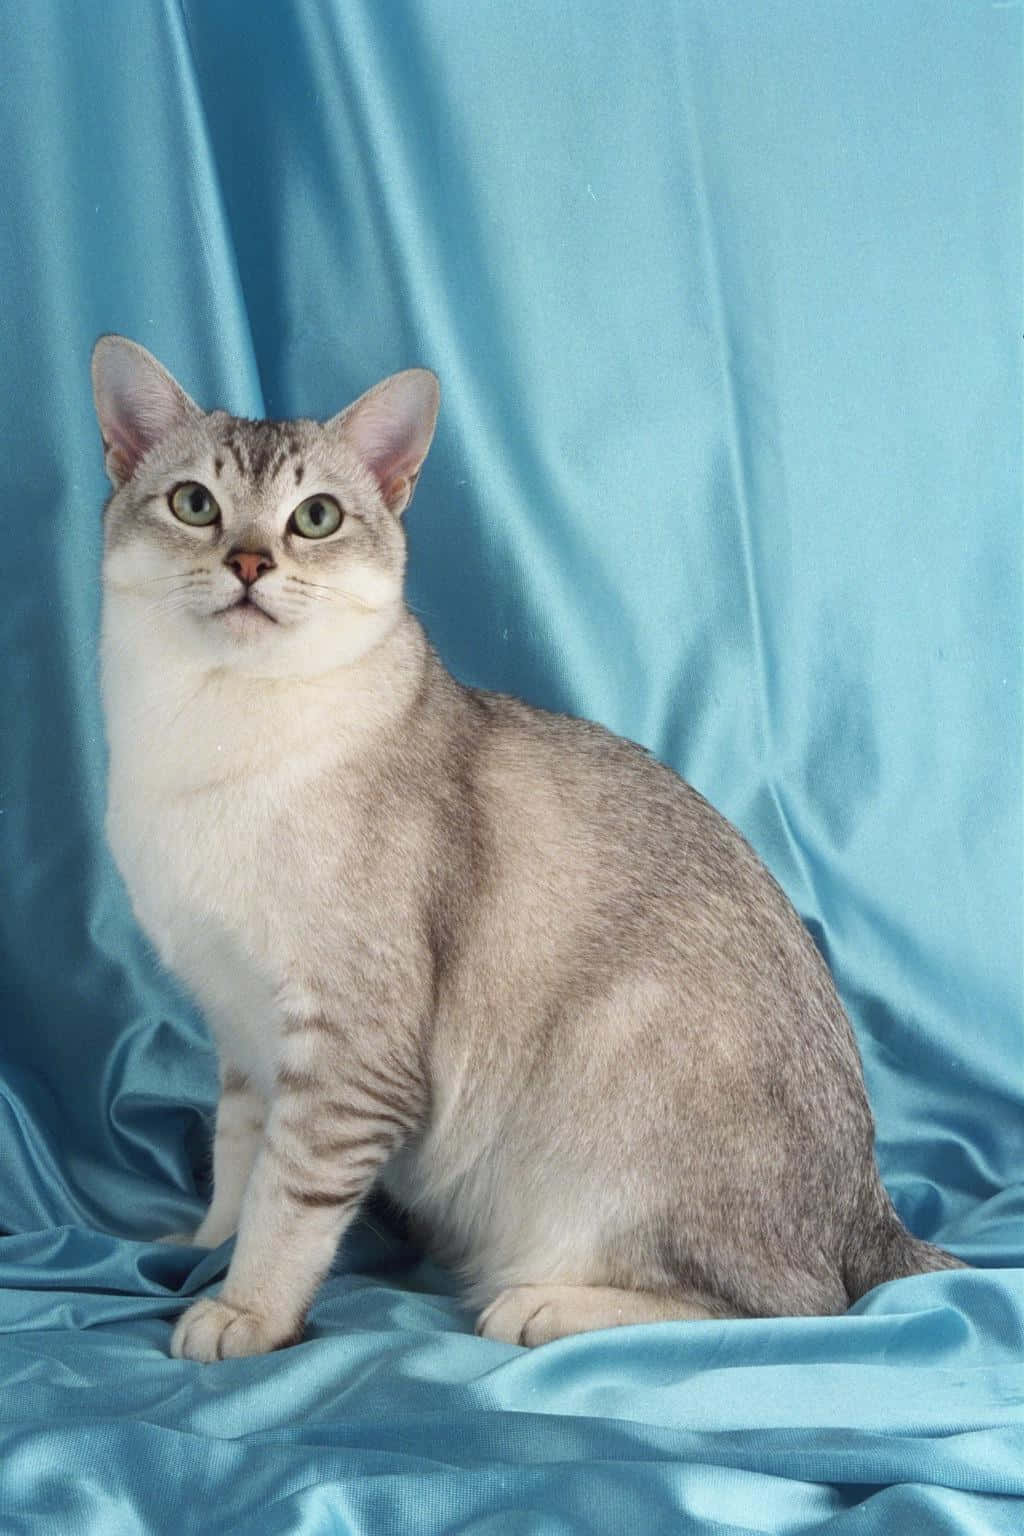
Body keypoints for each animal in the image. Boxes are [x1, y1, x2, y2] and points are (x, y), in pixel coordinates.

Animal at [90, 333, 964, 1357]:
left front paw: (248, 1310)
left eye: (315, 518)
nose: (251, 562)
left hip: (620, 1102)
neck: (206, 736)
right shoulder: (240, 1026)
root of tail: (873, 1208)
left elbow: (288, 1199)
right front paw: (203, 1248)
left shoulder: (346, 1047)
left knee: (800, 1305)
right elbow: (236, 1164)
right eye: (196, 504)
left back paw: (546, 1305)